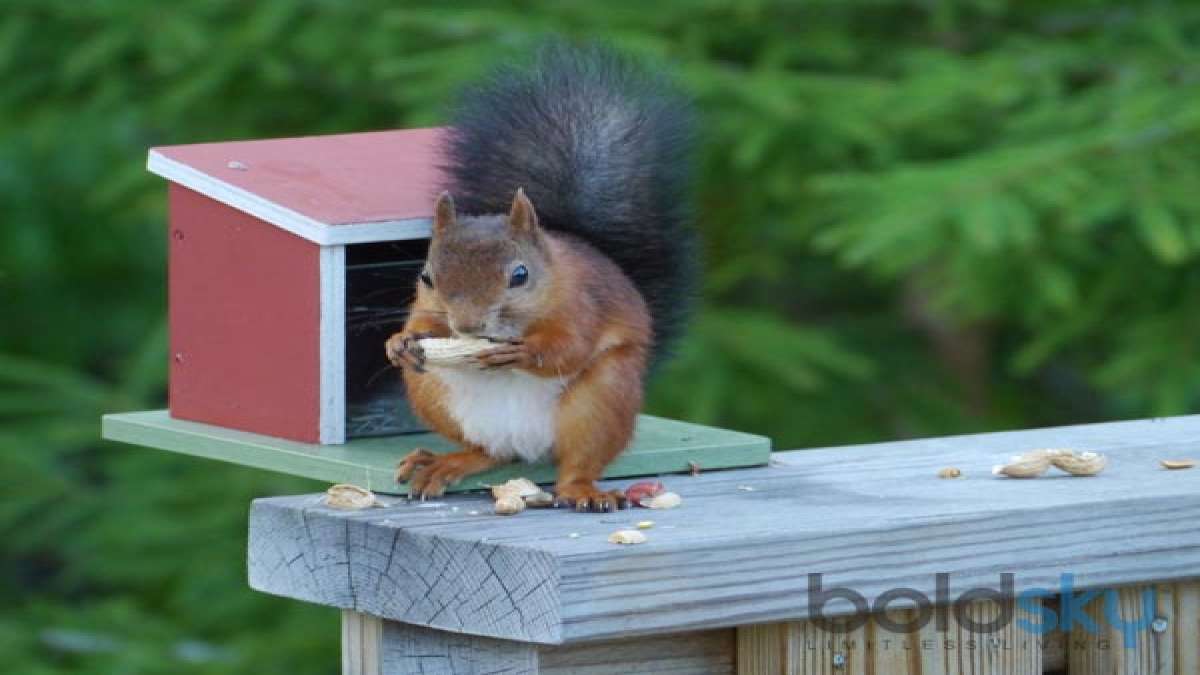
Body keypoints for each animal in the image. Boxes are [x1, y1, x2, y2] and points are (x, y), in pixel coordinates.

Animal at [386, 43, 696, 512]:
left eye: (520, 275)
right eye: (426, 276)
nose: (468, 326)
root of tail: (525, 444)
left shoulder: (580, 306)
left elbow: (569, 348)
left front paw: (523, 352)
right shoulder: (429, 311)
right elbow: (421, 323)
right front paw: (400, 342)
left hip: (602, 399)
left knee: (579, 459)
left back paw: (583, 491)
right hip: (433, 395)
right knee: (489, 452)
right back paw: (447, 461)